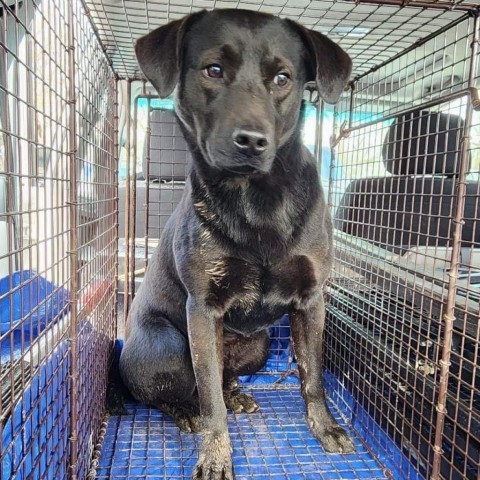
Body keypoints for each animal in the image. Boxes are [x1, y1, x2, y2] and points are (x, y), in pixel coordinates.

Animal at [120, 9, 352, 478]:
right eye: (213, 70)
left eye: (282, 78)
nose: (251, 141)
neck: (256, 201)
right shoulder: (202, 310)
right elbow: (209, 400)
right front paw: (215, 455)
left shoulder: (311, 300)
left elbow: (313, 374)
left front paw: (325, 427)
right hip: (169, 345)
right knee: (167, 394)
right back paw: (186, 412)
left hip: (259, 345)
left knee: (225, 377)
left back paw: (236, 393)